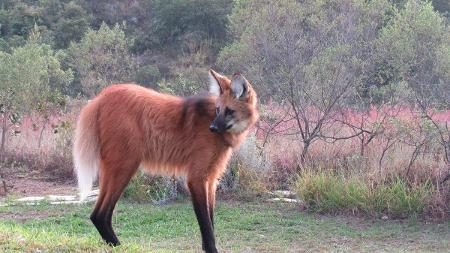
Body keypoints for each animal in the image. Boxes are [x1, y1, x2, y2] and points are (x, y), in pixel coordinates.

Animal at [73, 69, 256, 253]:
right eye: (218, 110)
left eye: (229, 111)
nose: (212, 128)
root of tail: (100, 97)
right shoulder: (196, 178)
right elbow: (206, 223)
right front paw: (211, 249)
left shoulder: (210, 179)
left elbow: (211, 219)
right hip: (125, 167)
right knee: (100, 214)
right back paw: (119, 245)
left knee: (96, 214)